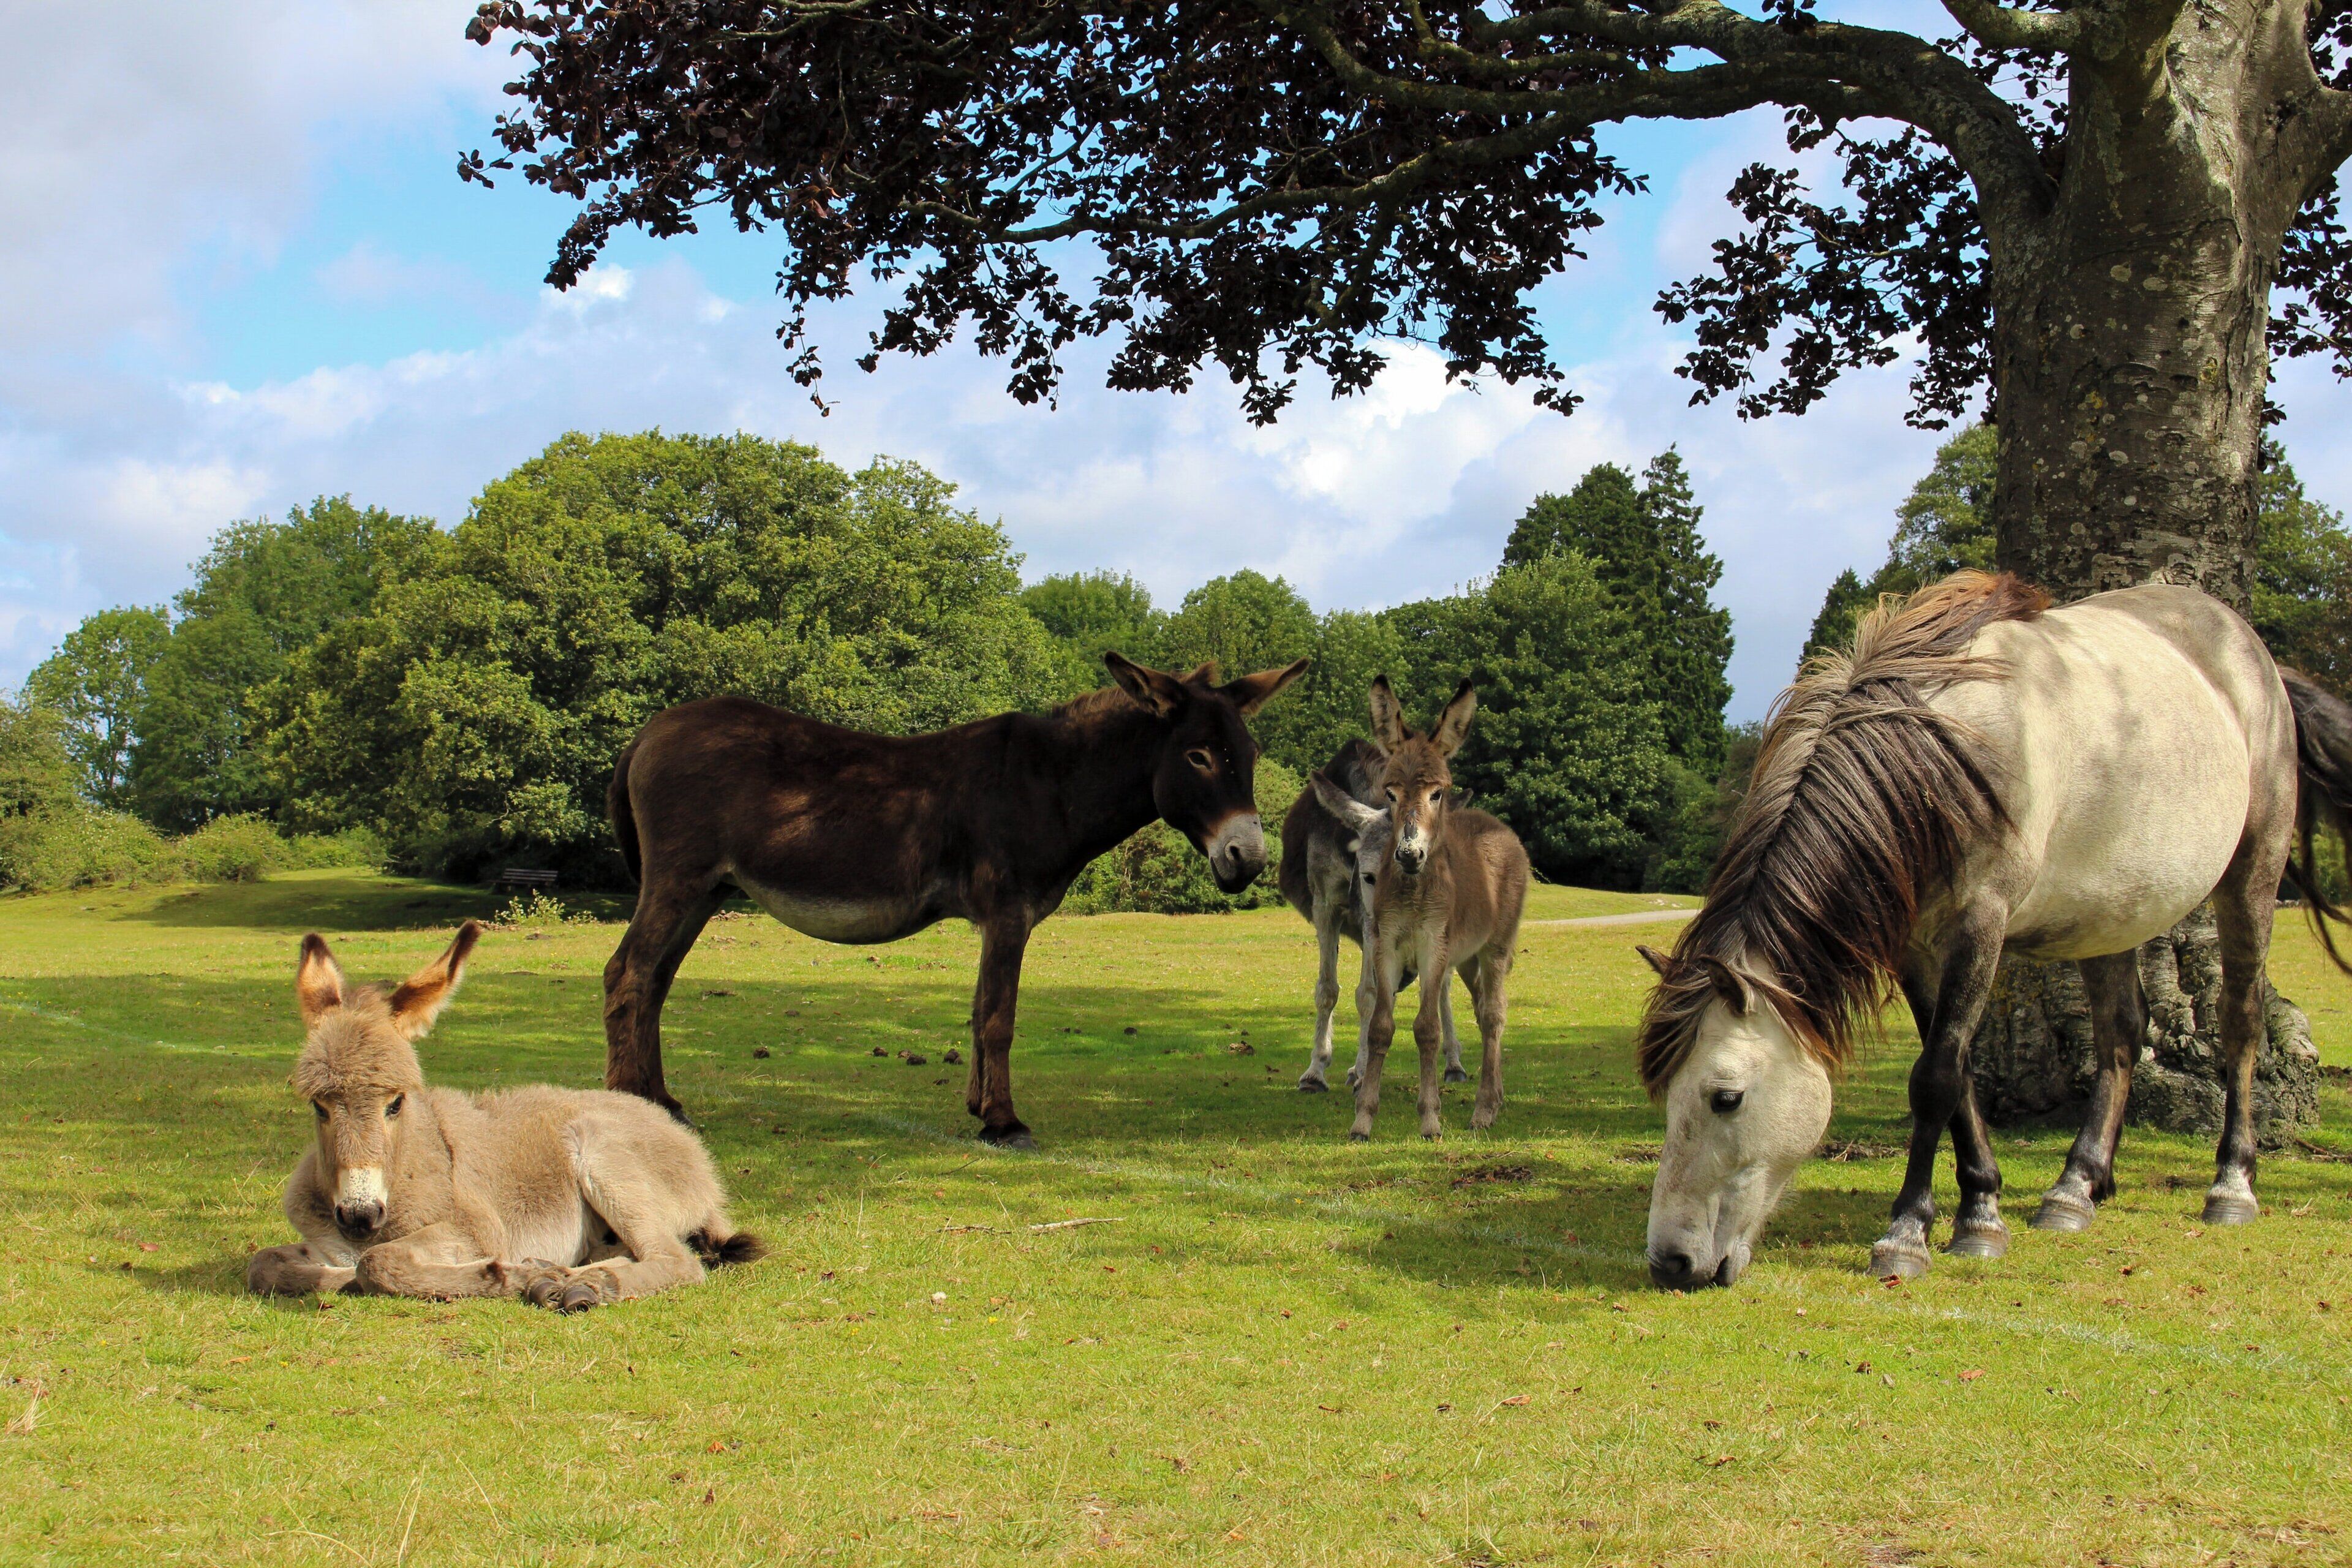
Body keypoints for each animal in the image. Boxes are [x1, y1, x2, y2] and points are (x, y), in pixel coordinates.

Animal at [247, 922, 761, 1311]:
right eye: (319, 1106)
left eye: (396, 1102)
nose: (359, 1216)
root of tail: (688, 1143)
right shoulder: (323, 1242)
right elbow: (265, 1265)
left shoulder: (476, 1228)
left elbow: (377, 1263)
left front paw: (504, 1275)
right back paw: (565, 1276)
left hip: (606, 1158)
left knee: (674, 1259)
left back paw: (581, 1285)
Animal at [604, 653, 1307, 1147]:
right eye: (1197, 757)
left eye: (1250, 754)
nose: (1250, 860)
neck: (1053, 784)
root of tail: (648, 732)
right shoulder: (1009, 911)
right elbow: (998, 1016)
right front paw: (1004, 1122)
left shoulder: (996, 919)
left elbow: (976, 1010)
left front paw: (977, 1108)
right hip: (678, 877)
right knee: (626, 973)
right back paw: (626, 1102)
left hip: (706, 889)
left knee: (655, 982)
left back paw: (663, 1104)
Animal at [1277, 737, 1466, 1093]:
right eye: (1369, 877)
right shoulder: (1326, 905)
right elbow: (1328, 990)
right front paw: (1316, 1071)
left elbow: (1368, 994)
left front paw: (1364, 1074)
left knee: (1443, 986)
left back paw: (1453, 1063)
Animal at [1313, 678, 1529, 1141]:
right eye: (1391, 793)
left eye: (1437, 793)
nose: (1410, 855)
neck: (1413, 892)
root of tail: (1495, 824)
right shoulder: (1388, 947)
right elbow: (1380, 1027)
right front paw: (1363, 1119)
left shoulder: (1434, 948)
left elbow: (1427, 1029)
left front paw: (1430, 1120)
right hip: (1467, 956)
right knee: (1483, 1010)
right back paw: (1497, 1096)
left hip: (1496, 946)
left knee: (1495, 1014)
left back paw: (1484, 1110)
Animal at [1637, 571, 2352, 1291]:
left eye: (1726, 1097)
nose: (1671, 1263)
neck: (1942, 757)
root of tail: (2254, 654)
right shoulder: (1916, 949)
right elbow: (1958, 1077)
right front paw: (1979, 1209)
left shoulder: (1980, 923)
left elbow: (1936, 1077)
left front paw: (1907, 1233)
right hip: (2111, 912)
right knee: (2122, 1033)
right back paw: (2077, 1187)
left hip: (2253, 872)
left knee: (2240, 1019)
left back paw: (2231, 1184)